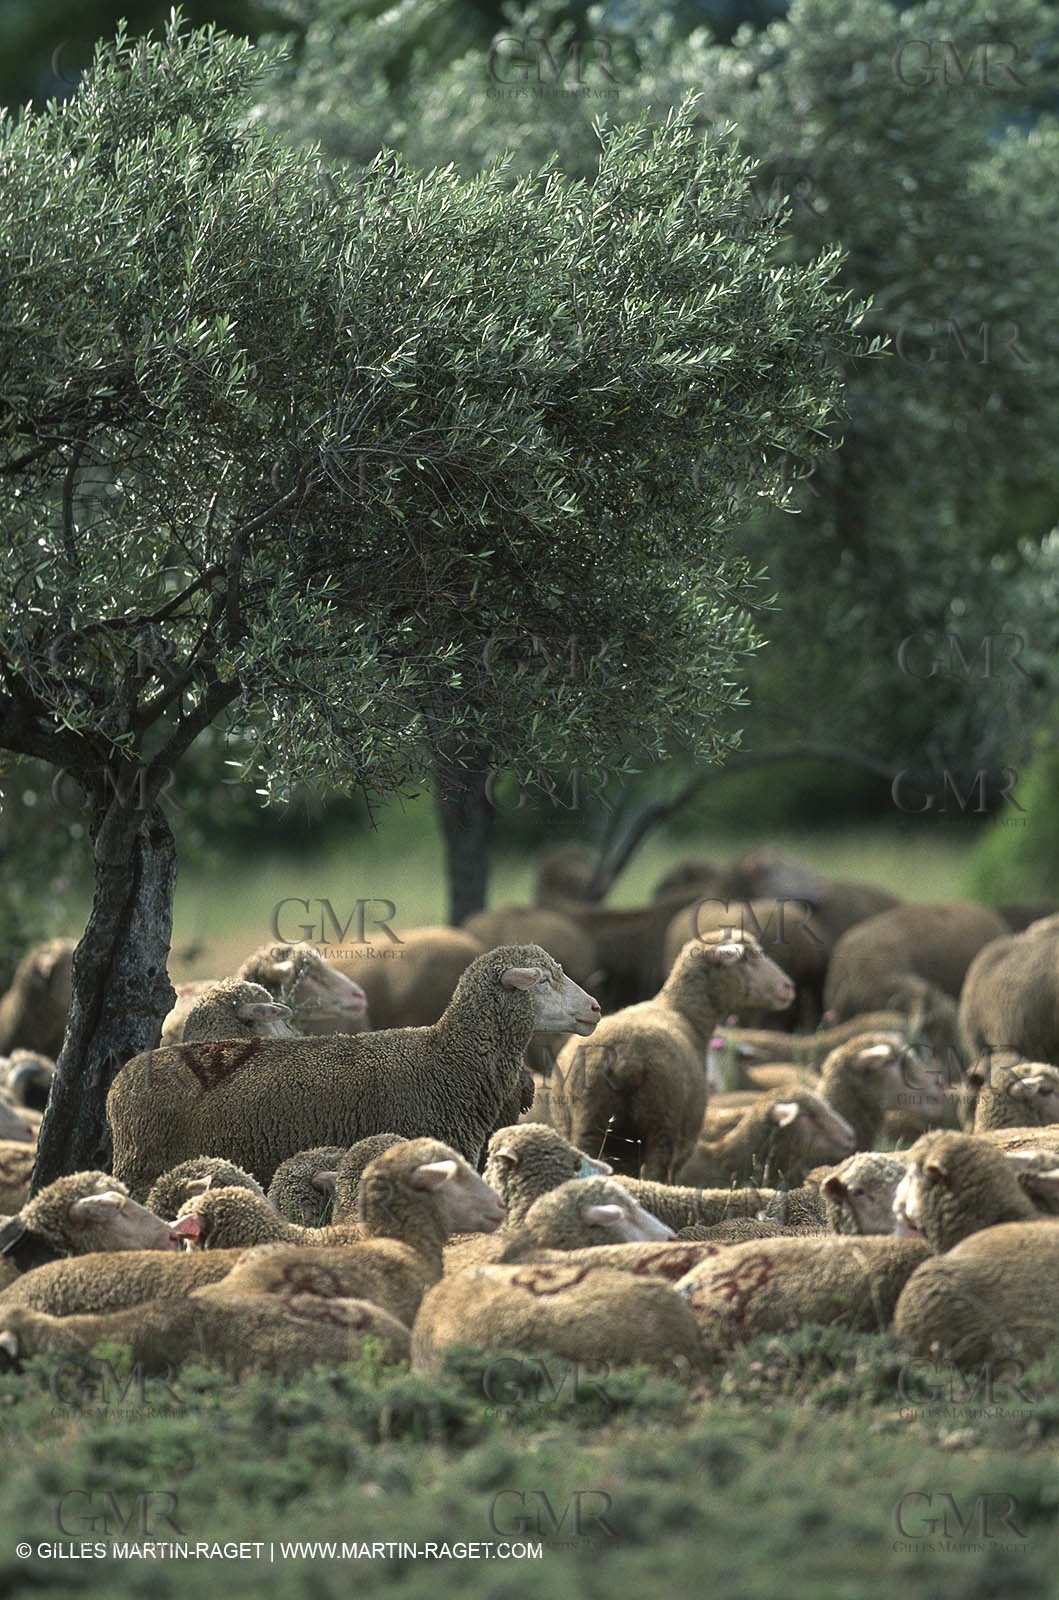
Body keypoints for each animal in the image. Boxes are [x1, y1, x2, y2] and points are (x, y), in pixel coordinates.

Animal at [548, 934, 795, 1181]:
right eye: (746, 959)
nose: (787, 986)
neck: (683, 1013)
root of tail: (626, 1058)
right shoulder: (684, 1146)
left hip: (589, 1123)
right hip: (662, 1123)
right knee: (655, 1174)